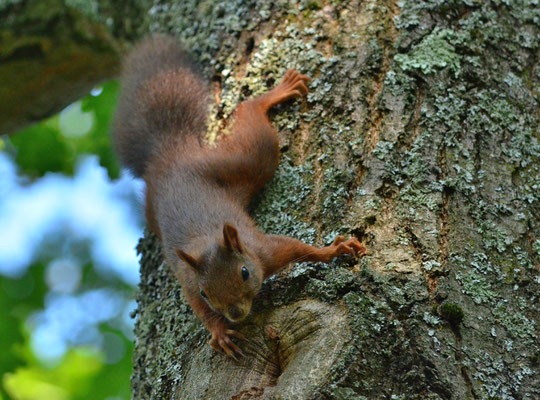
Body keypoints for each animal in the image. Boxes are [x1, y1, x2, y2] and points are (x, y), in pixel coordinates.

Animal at [113, 34, 368, 360]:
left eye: (244, 273)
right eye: (206, 292)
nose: (234, 313)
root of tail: (170, 155)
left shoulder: (266, 249)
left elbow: (302, 250)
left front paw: (334, 250)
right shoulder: (189, 279)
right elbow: (197, 308)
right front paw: (219, 332)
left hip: (240, 162)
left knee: (251, 118)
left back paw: (272, 94)